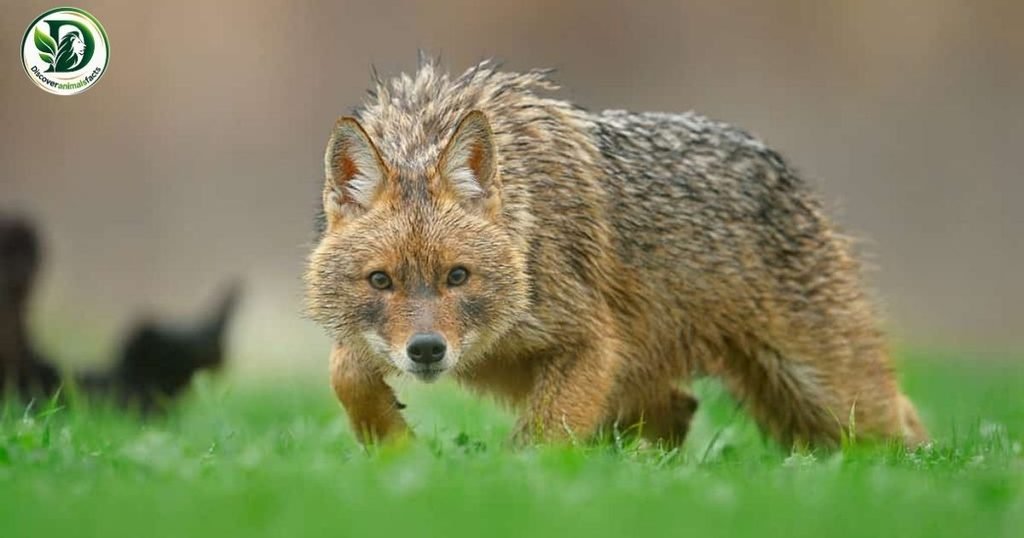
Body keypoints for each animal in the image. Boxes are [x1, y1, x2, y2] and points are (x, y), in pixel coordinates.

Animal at [304, 58, 929, 448]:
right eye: (380, 281)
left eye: (458, 276)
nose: (428, 351)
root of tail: (782, 165)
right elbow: (345, 373)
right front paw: (394, 442)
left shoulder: (591, 343)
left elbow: (538, 445)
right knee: (679, 409)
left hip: (834, 395)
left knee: (906, 427)